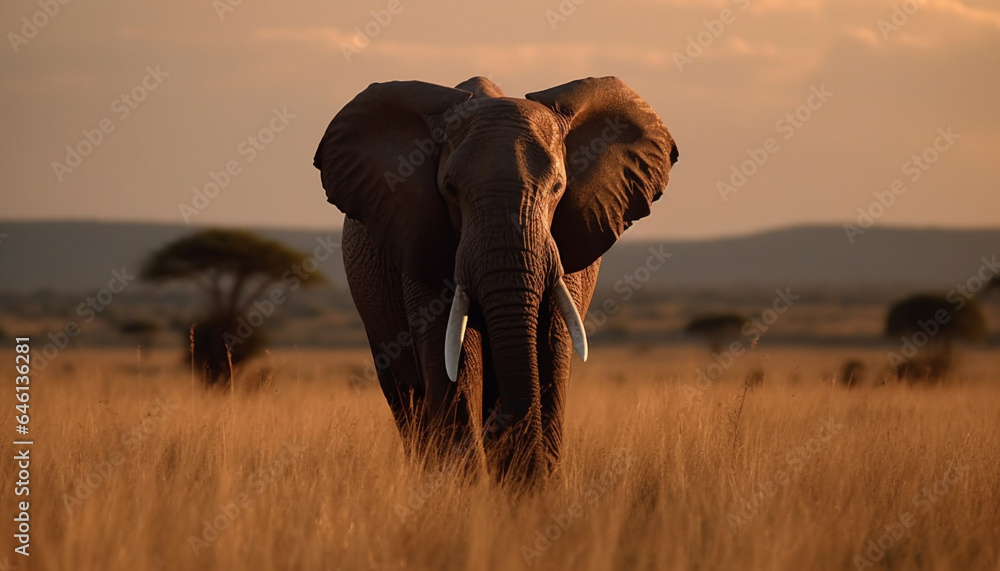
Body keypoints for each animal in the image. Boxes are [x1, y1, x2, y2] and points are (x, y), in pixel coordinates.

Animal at [313, 76, 678, 485]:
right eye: (450, 189)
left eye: (558, 188)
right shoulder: (422, 240)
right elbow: (456, 361)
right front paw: (468, 494)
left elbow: (551, 351)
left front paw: (533, 489)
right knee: (407, 401)